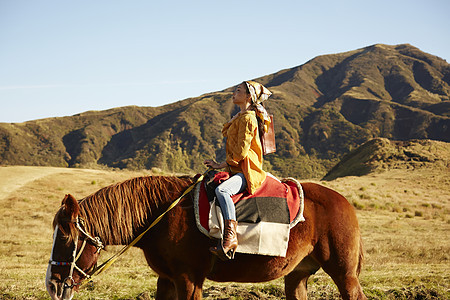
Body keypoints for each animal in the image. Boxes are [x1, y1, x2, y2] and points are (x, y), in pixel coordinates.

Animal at [45, 175, 366, 300]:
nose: (52, 284)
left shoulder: (189, 279)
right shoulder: (167, 280)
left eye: (66, 239)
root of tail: (344, 202)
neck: (161, 215)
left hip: (344, 273)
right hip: (298, 275)